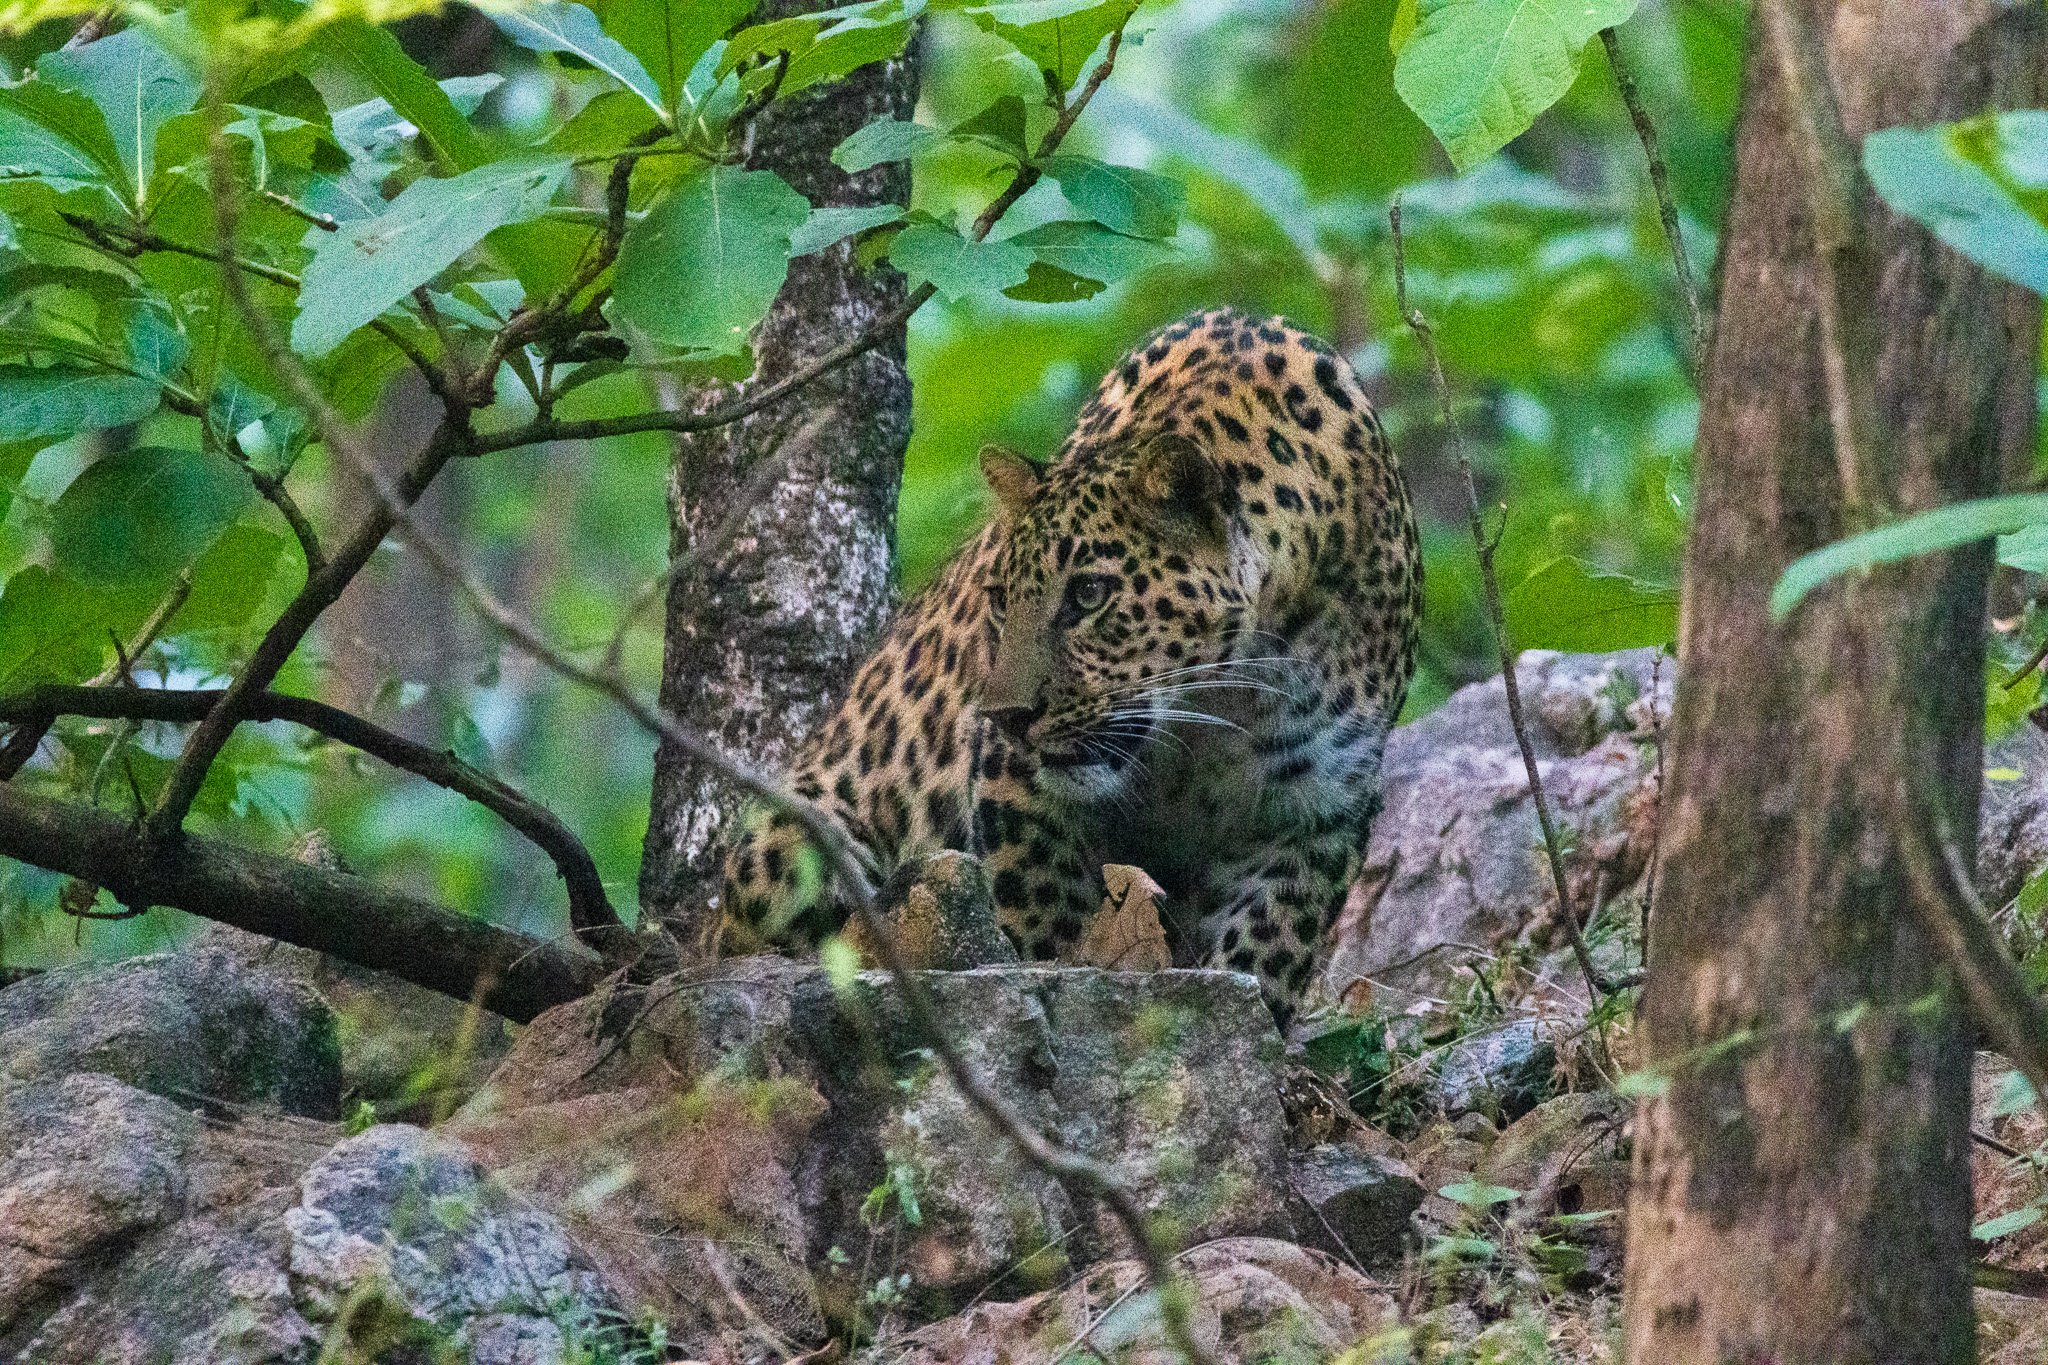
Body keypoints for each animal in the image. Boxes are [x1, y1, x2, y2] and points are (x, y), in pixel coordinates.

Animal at [720, 306, 1425, 1023]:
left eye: (1088, 594)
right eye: (1001, 600)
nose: (1008, 716)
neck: (1218, 703)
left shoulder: (1320, 808)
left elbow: (1269, 948)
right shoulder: (1012, 790)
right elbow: (1047, 920)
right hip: (793, 844)